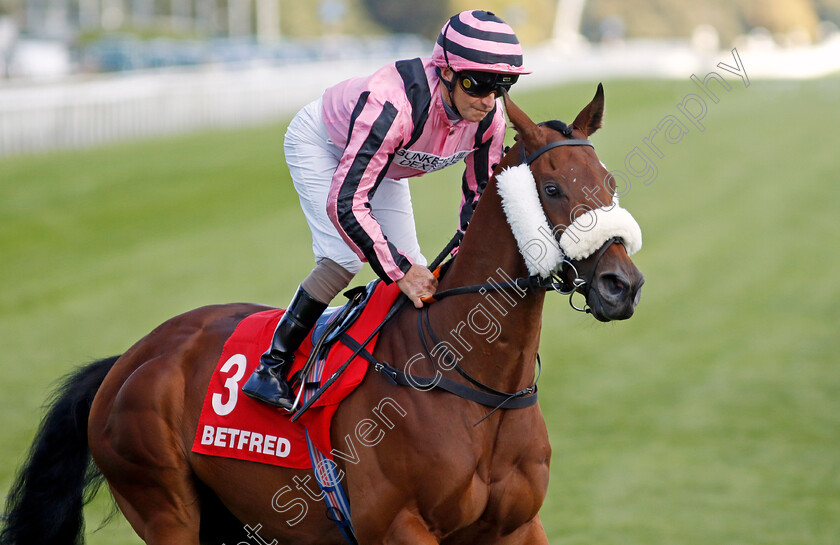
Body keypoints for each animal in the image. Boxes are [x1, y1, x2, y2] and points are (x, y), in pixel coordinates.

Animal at [0, 85, 644, 544]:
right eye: (553, 190)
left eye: (610, 182)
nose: (622, 285)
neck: (474, 383)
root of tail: (129, 359)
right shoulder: (399, 526)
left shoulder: (517, 527)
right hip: (163, 506)